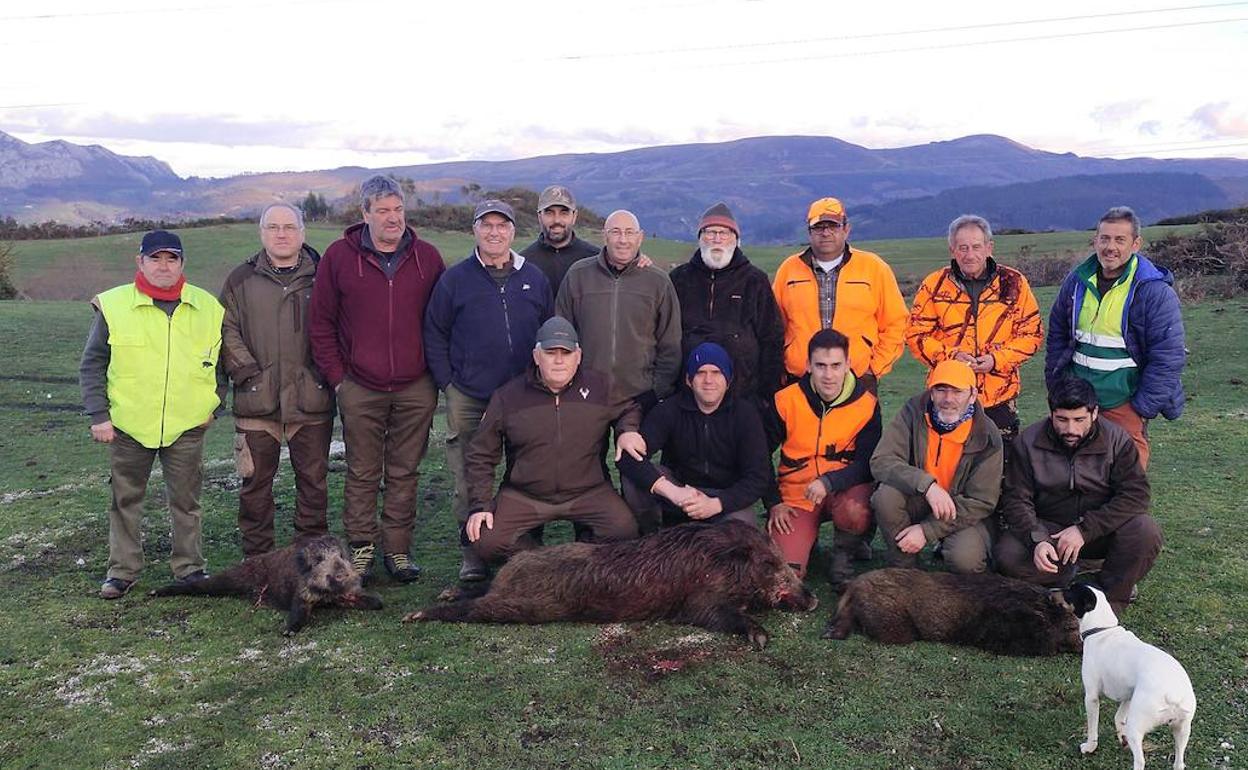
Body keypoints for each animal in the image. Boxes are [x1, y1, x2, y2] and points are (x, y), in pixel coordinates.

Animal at [1063, 581, 1198, 768]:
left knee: (1140, 761)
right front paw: (1122, 737)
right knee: (1179, 763)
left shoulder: (1091, 697)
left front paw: (1090, 747)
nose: (1053, 590)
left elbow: (1093, 729)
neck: (1102, 630)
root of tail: (1172, 694)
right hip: (1182, 730)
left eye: (1069, 590)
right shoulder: (1128, 694)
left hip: (1137, 726)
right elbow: (1118, 717)